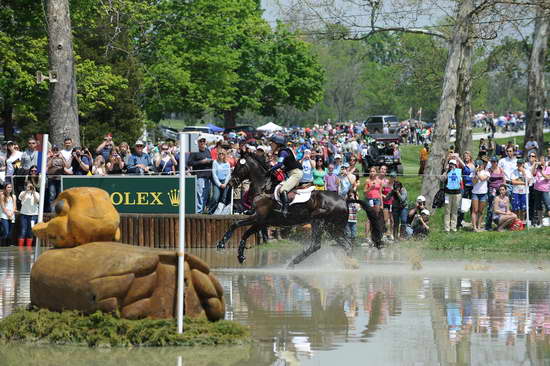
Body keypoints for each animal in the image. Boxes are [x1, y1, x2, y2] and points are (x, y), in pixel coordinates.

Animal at [213, 152, 386, 268]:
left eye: (239, 165)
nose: (231, 183)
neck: (264, 187)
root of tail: (344, 200)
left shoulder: (259, 218)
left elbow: (241, 229)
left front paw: (232, 251)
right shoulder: (262, 221)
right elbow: (239, 227)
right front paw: (229, 249)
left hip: (319, 221)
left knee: (316, 245)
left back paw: (293, 262)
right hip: (333, 228)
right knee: (346, 245)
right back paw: (349, 264)